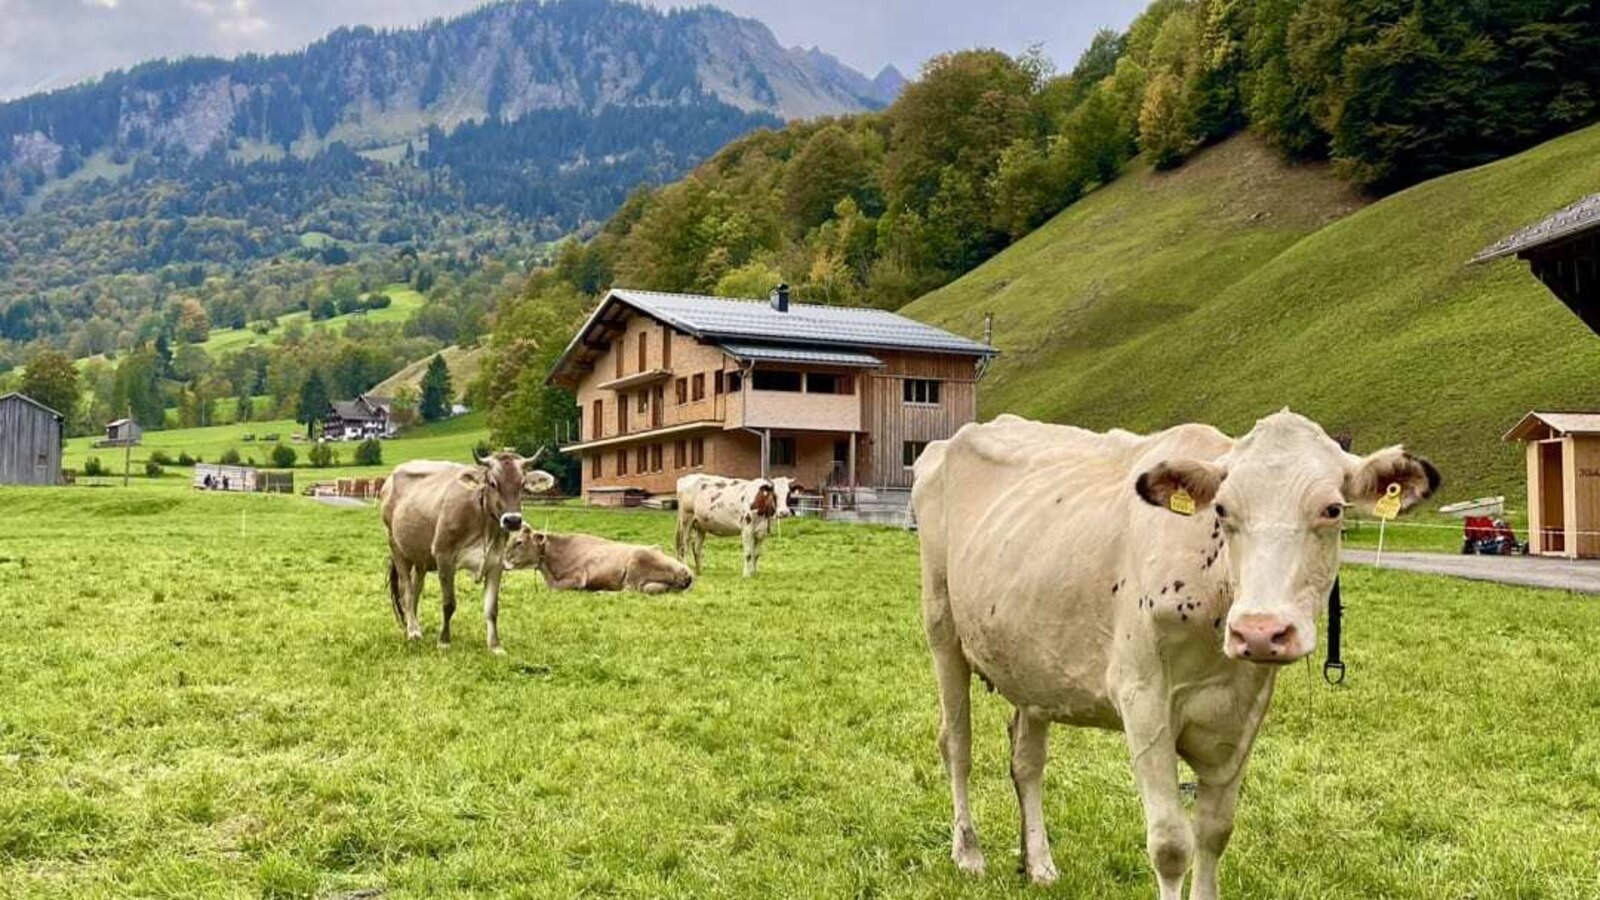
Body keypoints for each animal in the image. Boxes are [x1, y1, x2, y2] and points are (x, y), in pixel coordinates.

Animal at [380, 450, 555, 652]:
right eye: (492, 483)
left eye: (522, 483)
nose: (512, 520)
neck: (484, 524)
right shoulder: (444, 556)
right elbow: (449, 604)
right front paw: (444, 641)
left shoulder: (496, 563)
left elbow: (492, 609)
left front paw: (495, 646)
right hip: (396, 547)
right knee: (406, 590)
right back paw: (413, 631)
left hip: (421, 556)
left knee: (416, 589)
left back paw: (413, 624)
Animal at [504, 527, 695, 594]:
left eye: (519, 542)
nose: (503, 562)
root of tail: (686, 570)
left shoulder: (577, 578)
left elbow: (556, 588)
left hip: (635, 565)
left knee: (627, 591)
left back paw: (601, 592)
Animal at [674, 474, 804, 576]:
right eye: (774, 494)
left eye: (789, 494)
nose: (784, 512)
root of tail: (685, 478)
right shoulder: (746, 529)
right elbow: (748, 554)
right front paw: (746, 574)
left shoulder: (761, 533)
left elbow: (756, 554)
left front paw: (754, 573)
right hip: (686, 520)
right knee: (684, 546)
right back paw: (686, 569)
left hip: (701, 525)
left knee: (696, 548)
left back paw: (699, 571)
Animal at [913, 411, 1438, 898]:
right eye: (1222, 509)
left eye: (1332, 509)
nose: (1260, 632)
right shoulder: (1143, 698)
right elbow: (1170, 844)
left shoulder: (1244, 711)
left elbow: (1214, 833)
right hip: (942, 629)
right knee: (957, 744)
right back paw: (969, 853)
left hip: (1033, 662)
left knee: (1026, 760)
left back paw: (1039, 863)